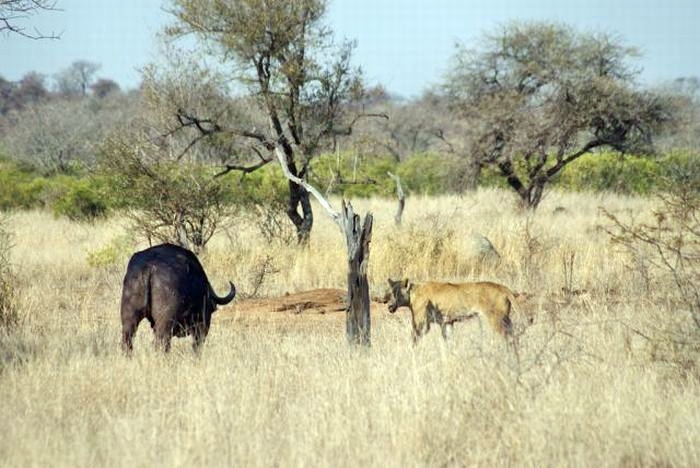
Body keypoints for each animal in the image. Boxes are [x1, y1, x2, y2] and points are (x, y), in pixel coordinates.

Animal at [386, 278, 516, 344]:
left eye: (395, 293)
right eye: (389, 292)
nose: (389, 305)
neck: (412, 293)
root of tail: (504, 288)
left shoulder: (421, 323)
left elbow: (414, 338)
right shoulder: (447, 322)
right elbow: (448, 340)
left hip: (496, 320)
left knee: (505, 337)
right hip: (506, 319)